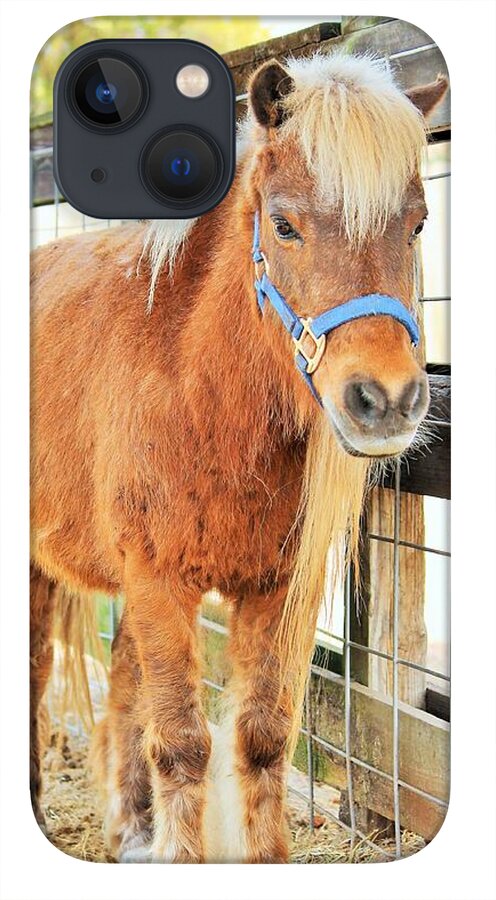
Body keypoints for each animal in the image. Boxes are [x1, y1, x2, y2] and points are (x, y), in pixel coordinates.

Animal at [30, 51, 448, 863]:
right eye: (283, 224)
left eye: (417, 223)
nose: (385, 399)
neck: (201, 393)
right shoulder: (159, 580)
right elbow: (183, 744)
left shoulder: (277, 590)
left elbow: (260, 740)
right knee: (37, 671)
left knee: (122, 685)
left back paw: (132, 829)